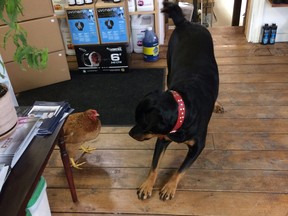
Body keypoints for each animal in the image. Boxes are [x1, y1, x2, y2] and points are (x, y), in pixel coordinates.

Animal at [129, 1, 224, 201]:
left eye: (145, 125)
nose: (130, 133)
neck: (183, 109)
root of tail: (185, 23)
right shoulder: (162, 138)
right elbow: (154, 165)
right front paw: (147, 185)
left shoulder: (198, 146)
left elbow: (181, 169)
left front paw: (169, 187)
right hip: (170, 62)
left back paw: (217, 104)